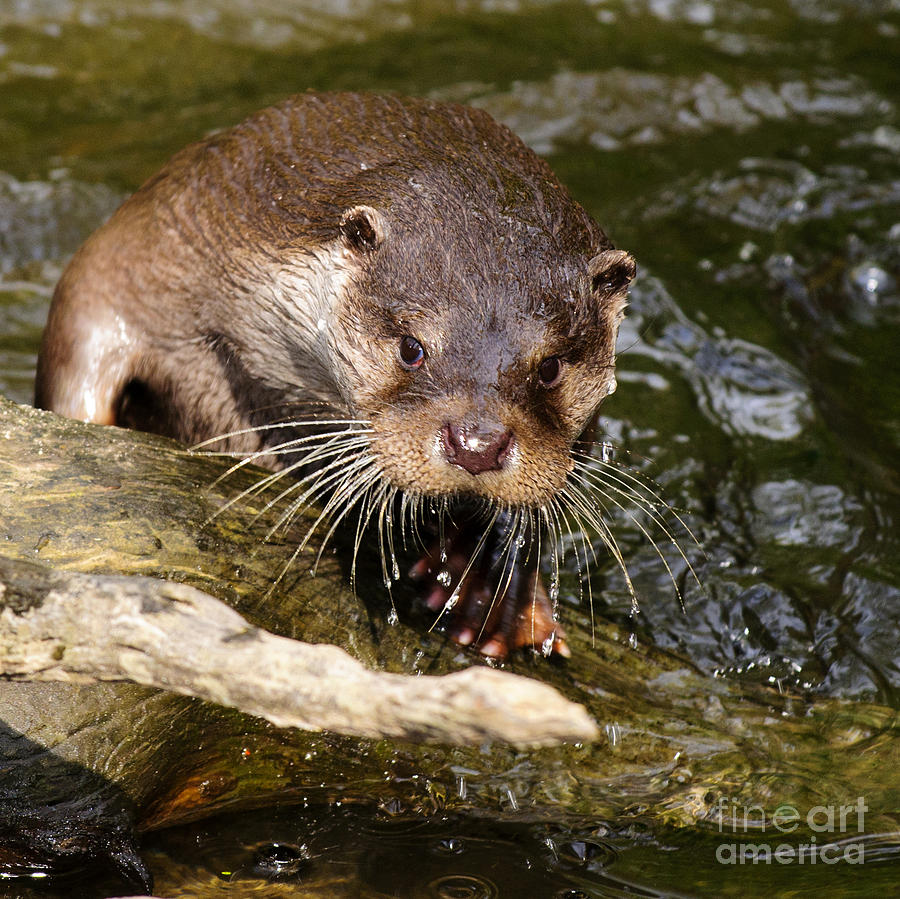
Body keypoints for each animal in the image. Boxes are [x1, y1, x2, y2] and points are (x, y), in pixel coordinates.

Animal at [35, 91, 632, 656]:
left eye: (550, 367)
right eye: (412, 348)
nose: (477, 444)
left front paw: (487, 578)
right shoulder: (149, 241)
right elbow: (83, 334)